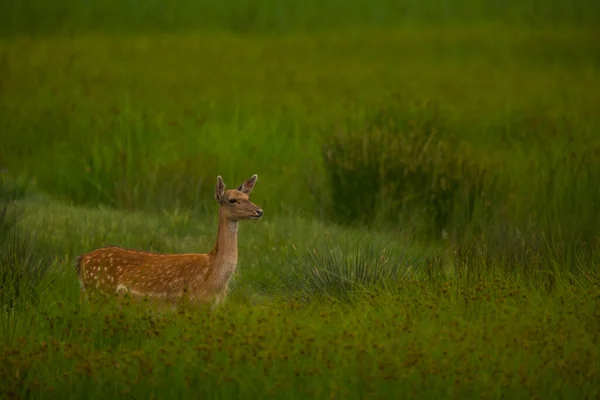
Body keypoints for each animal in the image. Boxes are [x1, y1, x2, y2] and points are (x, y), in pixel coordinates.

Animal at [75, 173, 262, 308]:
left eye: (248, 198)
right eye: (232, 200)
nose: (259, 211)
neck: (214, 280)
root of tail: (82, 260)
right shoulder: (191, 303)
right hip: (99, 291)